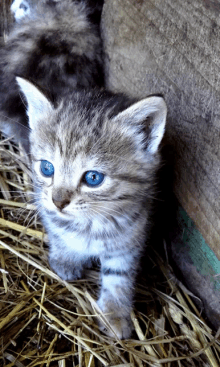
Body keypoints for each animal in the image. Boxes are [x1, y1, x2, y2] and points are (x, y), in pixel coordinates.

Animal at [1, 0, 167, 340]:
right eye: (47, 168)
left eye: (93, 178)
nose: (59, 201)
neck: (90, 226)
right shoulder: (46, 204)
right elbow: (58, 232)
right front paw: (65, 258)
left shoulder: (131, 233)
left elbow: (119, 273)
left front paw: (116, 312)